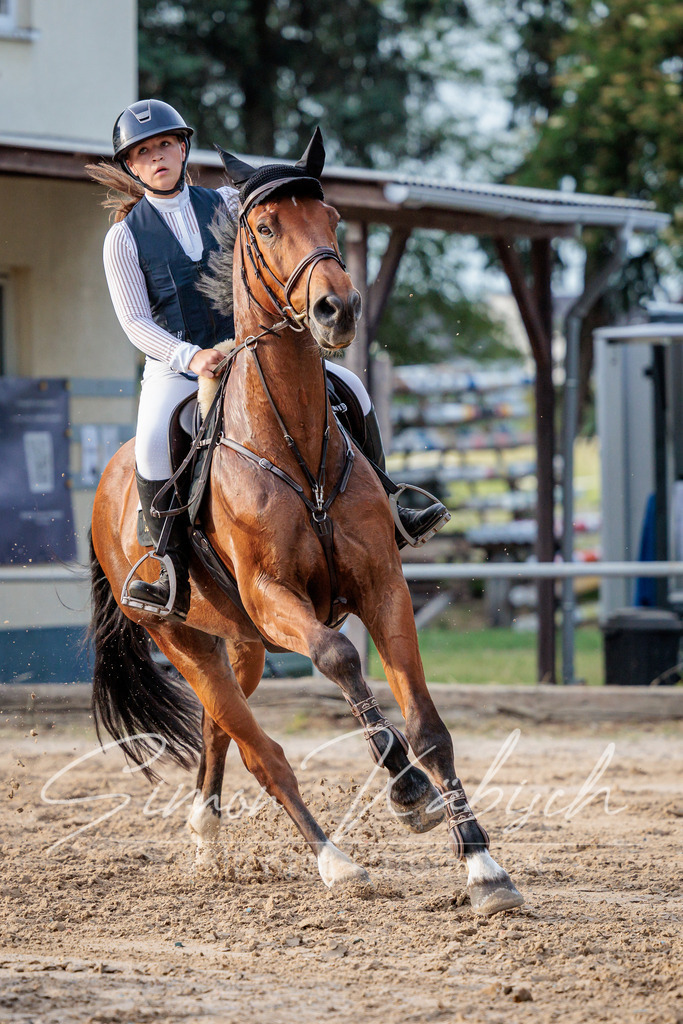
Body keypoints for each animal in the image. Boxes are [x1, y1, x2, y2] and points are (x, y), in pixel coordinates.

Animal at [89, 129, 524, 916]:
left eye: (333, 222)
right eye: (264, 228)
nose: (335, 310)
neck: (289, 435)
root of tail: (105, 486)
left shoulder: (383, 588)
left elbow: (429, 729)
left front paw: (484, 868)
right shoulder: (275, 598)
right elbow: (339, 658)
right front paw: (406, 792)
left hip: (240, 646)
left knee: (221, 727)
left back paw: (206, 836)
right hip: (182, 637)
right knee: (262, 751)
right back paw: (334, 861)